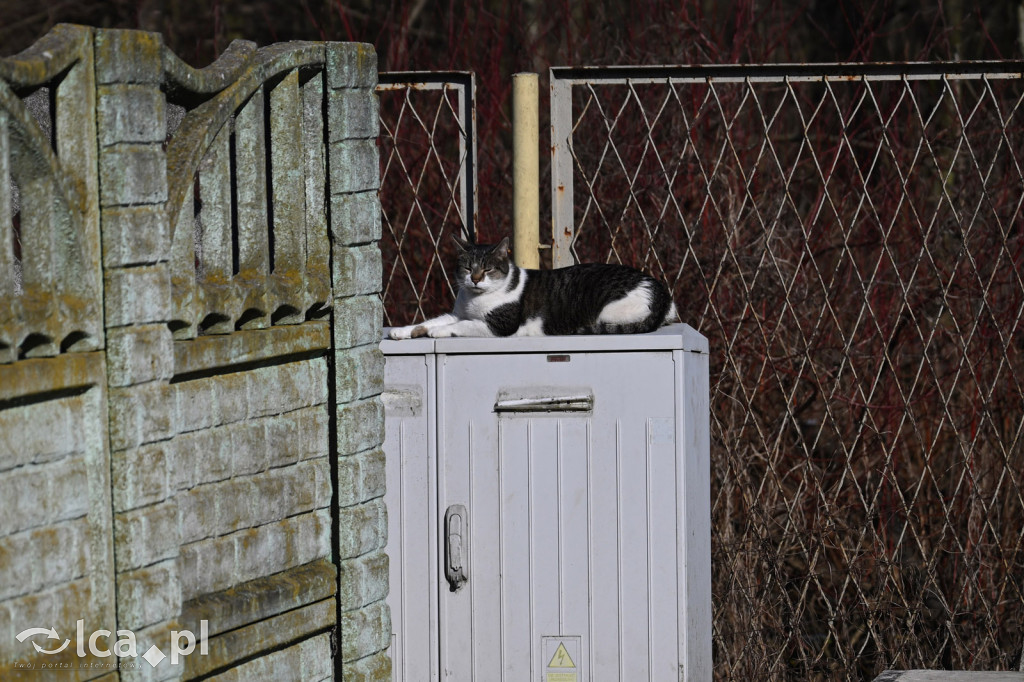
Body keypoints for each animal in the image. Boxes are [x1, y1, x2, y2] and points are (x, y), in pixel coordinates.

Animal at [387, 235, 675, 337]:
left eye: (488, 269)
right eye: (468, 268)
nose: (476, 279)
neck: (475, 299)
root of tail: (661, 291)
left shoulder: (500, 325)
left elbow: (461, 325)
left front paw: (438, 333)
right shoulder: (456, 313)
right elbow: (433, 320)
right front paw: (404, 331)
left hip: (607, 311)